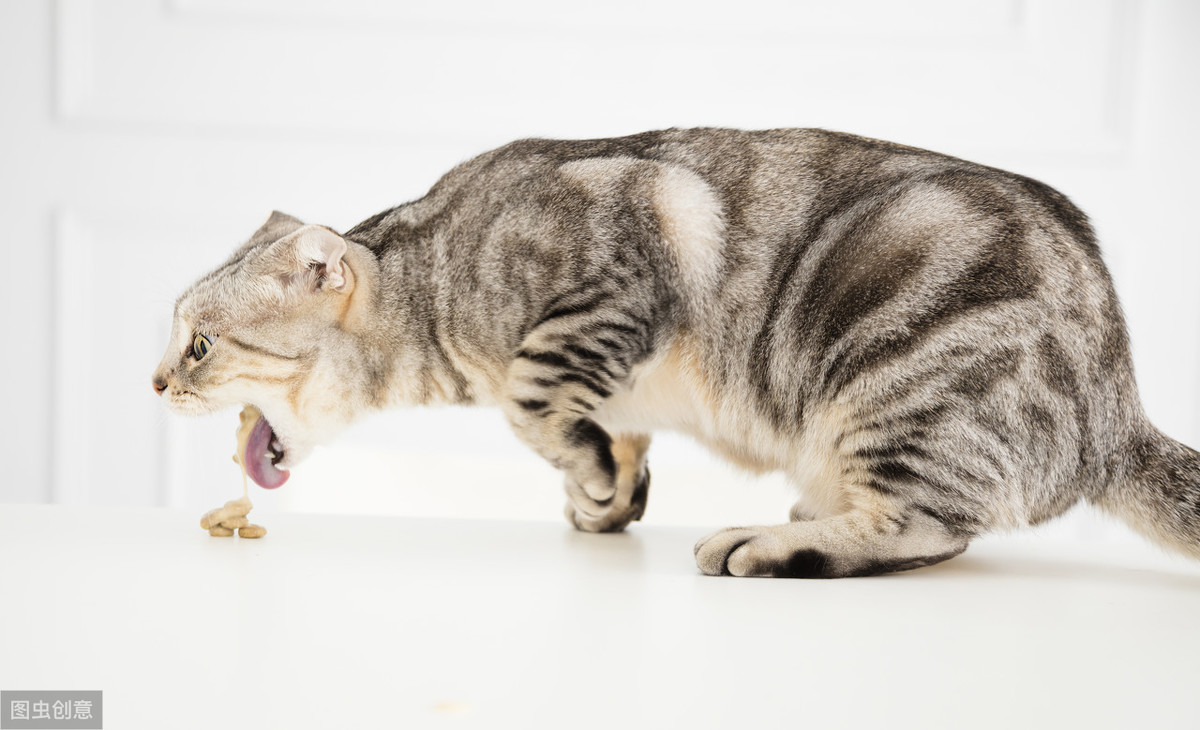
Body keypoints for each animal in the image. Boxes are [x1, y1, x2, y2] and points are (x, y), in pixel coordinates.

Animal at [154, 128, 1200, 578]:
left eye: (198, 343)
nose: (155, 379)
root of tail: (1114, 412)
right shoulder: (615, 372)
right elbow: (606, 434)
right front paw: (606, 493)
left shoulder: (611, 281)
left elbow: (533, 399)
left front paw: (589, 473)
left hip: (902, 383)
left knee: (927, 529)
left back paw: (771, 541)